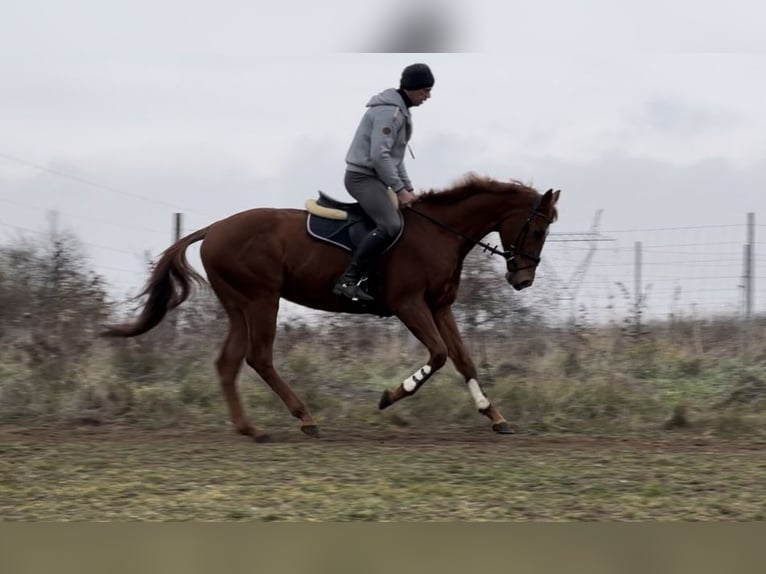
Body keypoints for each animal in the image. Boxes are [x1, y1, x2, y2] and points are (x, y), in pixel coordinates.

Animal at [103, 173, 560, 444]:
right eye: (538, 228)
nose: (522, 279)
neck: (438, 233)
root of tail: (214, 229)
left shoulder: (440, 306)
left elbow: (464, 360)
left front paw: (493, 414)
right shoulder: (409, 304)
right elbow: (439, 354)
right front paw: (391, 396)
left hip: (238, 304)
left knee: (228, 362)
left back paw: (250, 429)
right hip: (261, 299)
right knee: (258, 357)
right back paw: (304, 418)